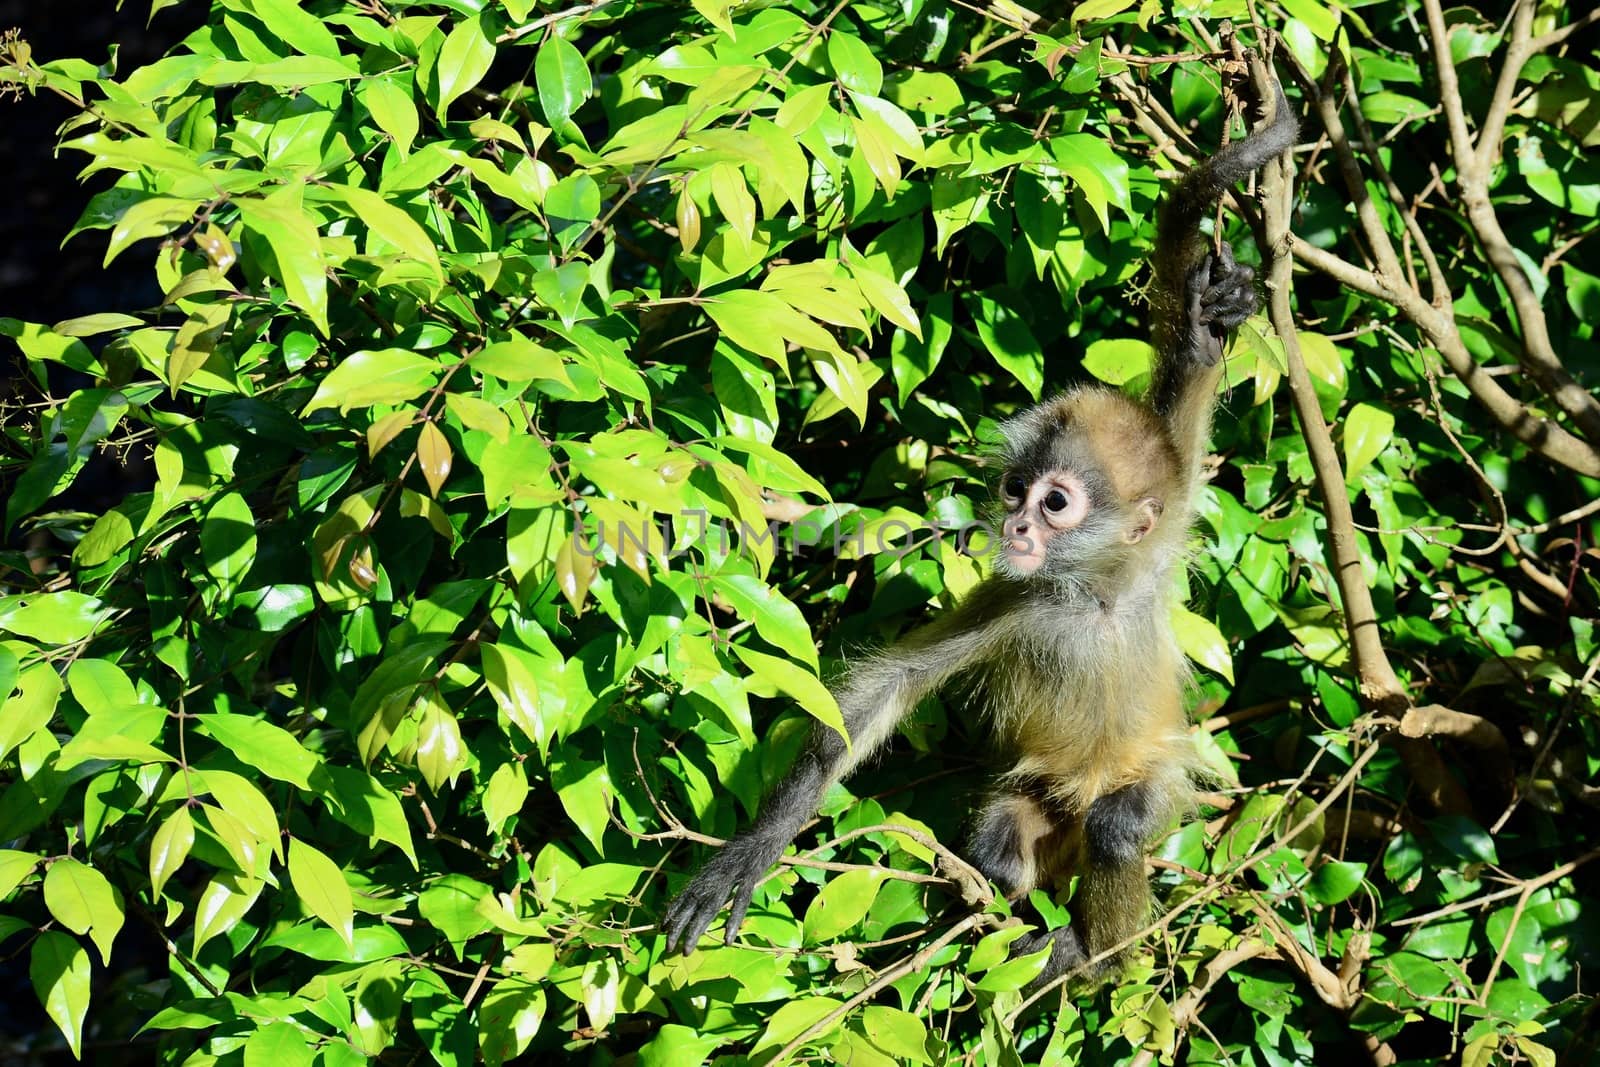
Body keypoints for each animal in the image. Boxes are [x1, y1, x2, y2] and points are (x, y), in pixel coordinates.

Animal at [662, 64, 1299, 985]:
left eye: (1056, 502)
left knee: (1118, 825)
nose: (1019, 530)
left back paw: (1096, 956)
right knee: (1003, 843)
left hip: (1139, 788)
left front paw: (1235, 224)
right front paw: (751, 849)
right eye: (1017, 491)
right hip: (1032, 805)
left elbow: (1188, 372)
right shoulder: (1022, 595)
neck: (1096, 595)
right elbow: (880, 696)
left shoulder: (1168, 516)